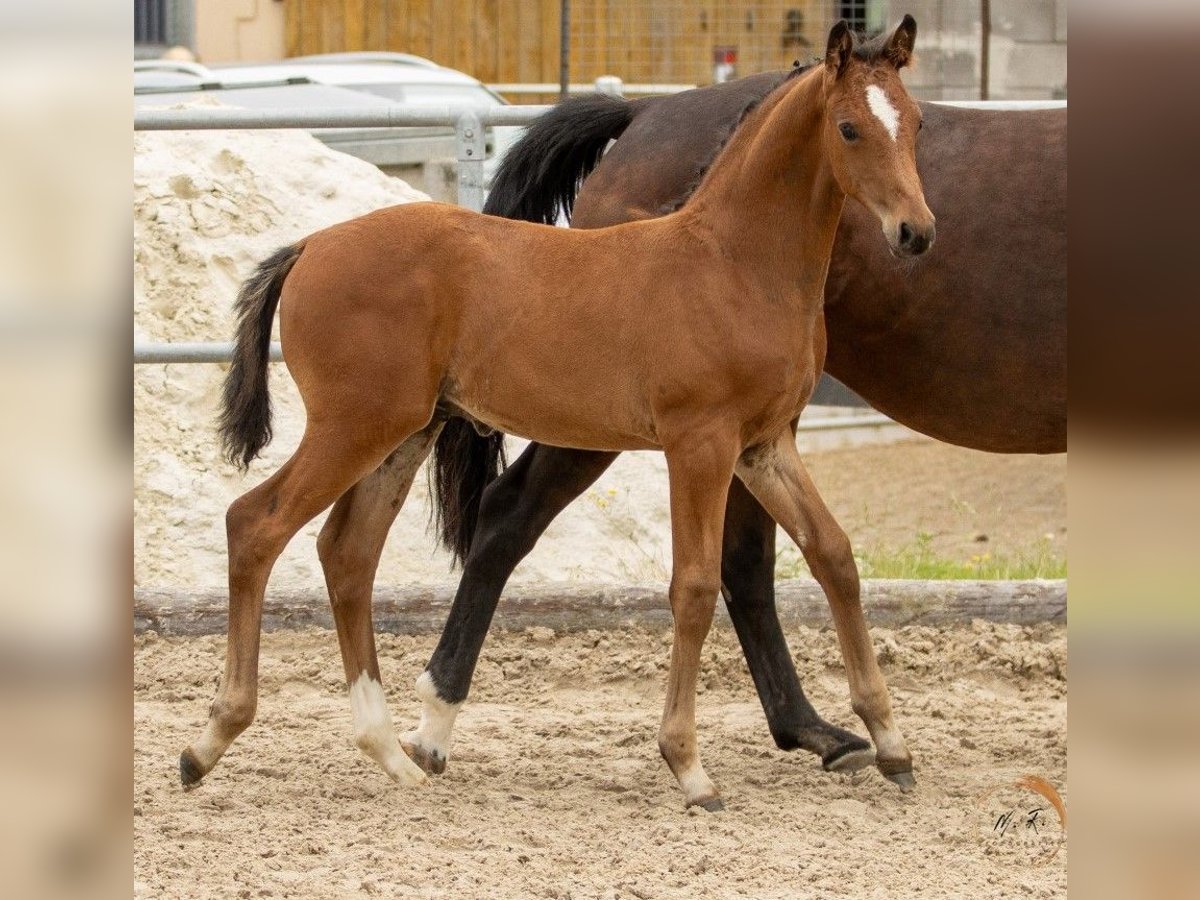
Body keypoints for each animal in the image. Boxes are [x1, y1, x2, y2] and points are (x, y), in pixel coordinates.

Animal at [184, 19, 936, 811]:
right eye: (850, 128)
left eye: (916, 122)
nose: (916, 231)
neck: (732, 264)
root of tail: (309, 247)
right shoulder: (700, 443)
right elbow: (695, 586)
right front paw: (688, 767)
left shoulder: (765, 445)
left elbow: (835, 557)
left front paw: (891, 743)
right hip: (352, 426)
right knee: (256, 525)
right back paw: (210, 742)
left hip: (404, 432)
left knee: (348, 553)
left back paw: (390, 754)